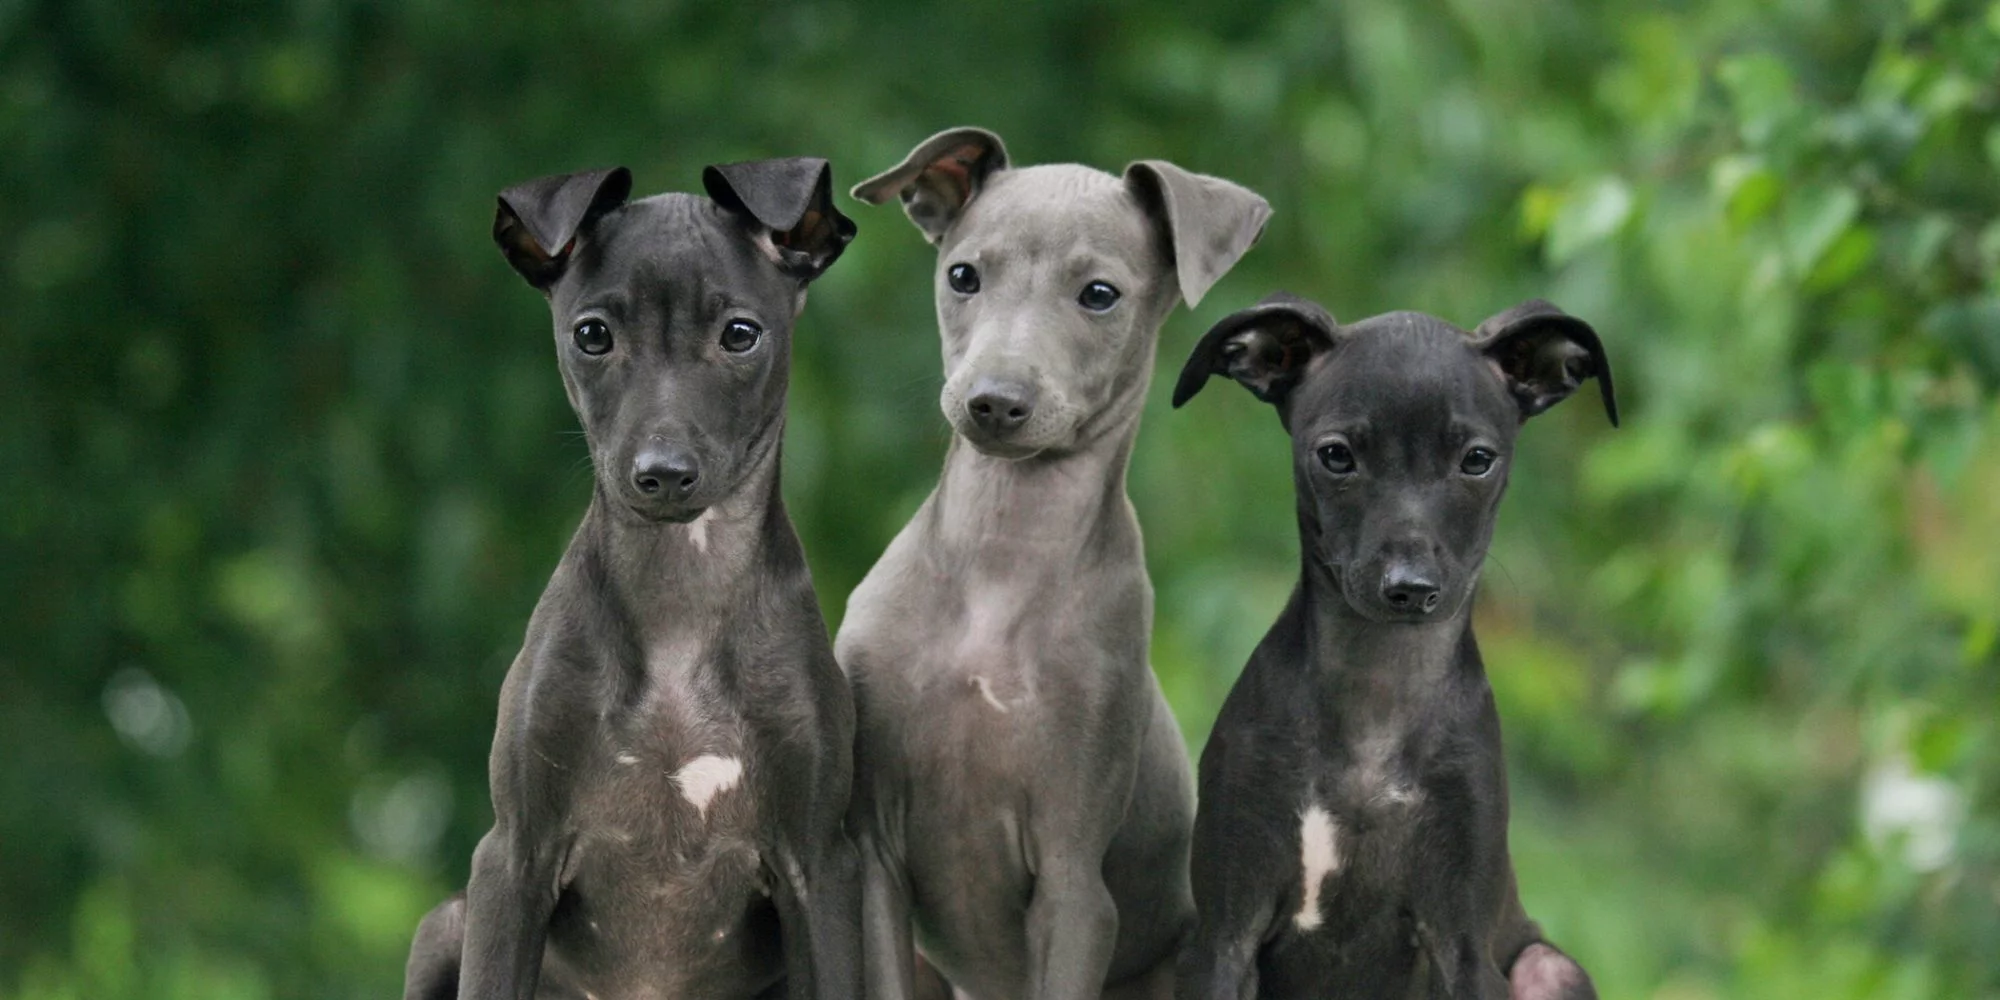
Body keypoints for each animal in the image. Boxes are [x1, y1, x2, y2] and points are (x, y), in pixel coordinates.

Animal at [408, 156, 868, 1000]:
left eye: (740, 333)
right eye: (592, 334)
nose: (662, 474)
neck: (679, 600)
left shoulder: (821, 868)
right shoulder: (512, 859)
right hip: (445, 925)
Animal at [836, 127, 1272, 1000]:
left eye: (1100, 294)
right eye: (963, 275)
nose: (994, 402)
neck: (1002, 560)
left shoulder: (1074, 884)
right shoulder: (874, 858)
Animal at [1168, 292, 1616, 996]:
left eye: (1478, 459)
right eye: (1335, 455)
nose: (1410, 589)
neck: (1378, 691)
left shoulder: (1465, 944)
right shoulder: (1223, 935)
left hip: (1549, 968)